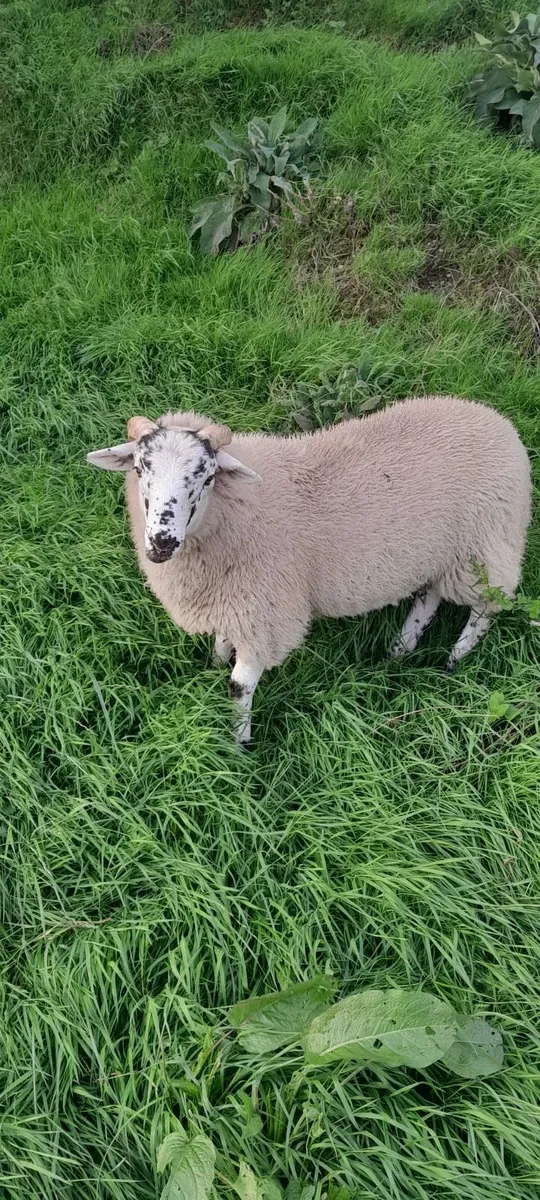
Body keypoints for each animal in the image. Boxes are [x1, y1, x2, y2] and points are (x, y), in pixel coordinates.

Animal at [87, 395, 531, 743]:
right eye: (139, 469)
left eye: (208, 477)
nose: (162, 542)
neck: (240, 513)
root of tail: (498, 420)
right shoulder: (235, 598)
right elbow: (221, 646)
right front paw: (211, 668)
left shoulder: (266, 611)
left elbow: (238, 687)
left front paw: (238, 744)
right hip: (441, 554)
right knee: (429, 597)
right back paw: (398, 653)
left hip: (487, 546)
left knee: (488, 604)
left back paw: (453, 660)